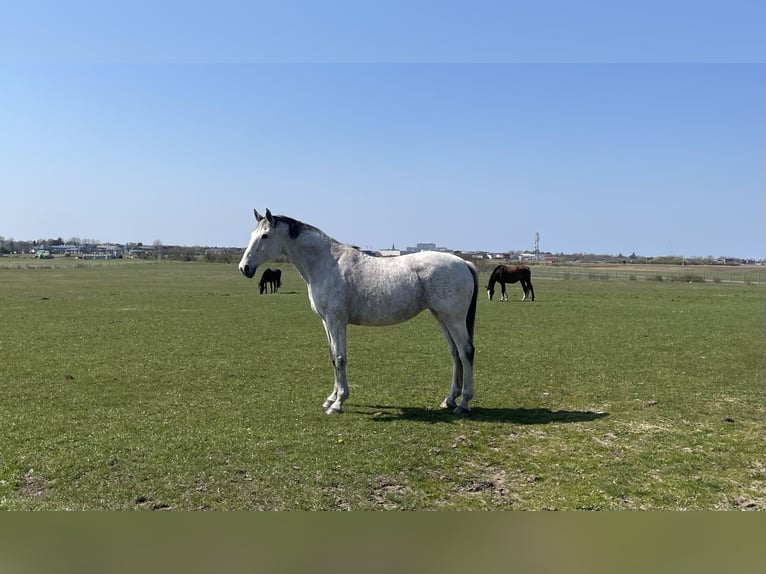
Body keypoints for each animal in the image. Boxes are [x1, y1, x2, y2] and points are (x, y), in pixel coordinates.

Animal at [239, 209, 479, 414]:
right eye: (253, 234)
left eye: (265, 236)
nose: (244, 268)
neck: (326, 264)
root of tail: (464, 263)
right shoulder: (326, 322)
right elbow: (333, 357)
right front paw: (331, 398)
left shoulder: (336, 321)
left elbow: (340, 358)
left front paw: (338, 403)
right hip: (441, 317)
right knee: (455, 353)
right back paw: (449, 400)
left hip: (454, 319)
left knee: (466, 352)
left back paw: (463, 403)